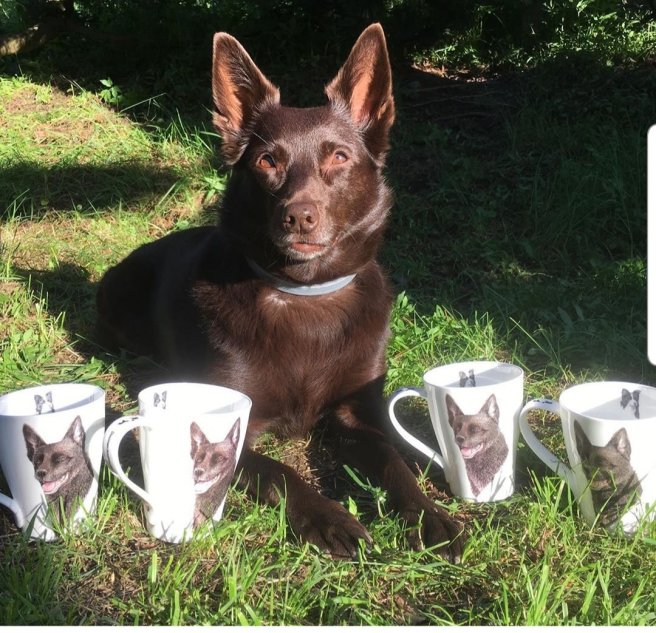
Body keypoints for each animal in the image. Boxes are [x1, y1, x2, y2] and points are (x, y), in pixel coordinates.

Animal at [96, 23, 463, 560]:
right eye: (268, 161)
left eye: (339, 157)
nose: (299, 217)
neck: (304, 296)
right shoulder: (237, 423)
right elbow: (281, 471)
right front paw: (329, 518)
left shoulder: (358, 414)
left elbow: (394, 462)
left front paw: (430, 516)